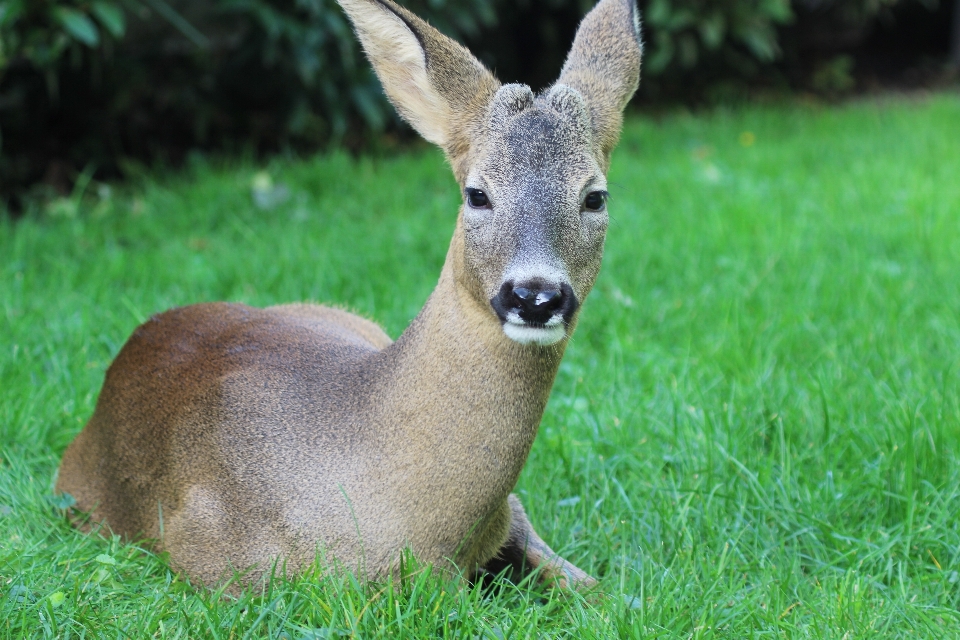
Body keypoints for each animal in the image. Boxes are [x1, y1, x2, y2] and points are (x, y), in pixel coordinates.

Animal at [52, 0, 640, 592]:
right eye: (477, 194)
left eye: (595, 197)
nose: (535, 296)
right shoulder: (208, 555)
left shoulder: (512, 514)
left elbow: (599, 592)